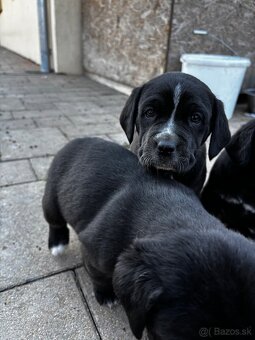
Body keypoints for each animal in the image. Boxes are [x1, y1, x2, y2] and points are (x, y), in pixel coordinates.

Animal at [42, 137, 255, 340]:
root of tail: (75, 142)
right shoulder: (93, 251)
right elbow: (99, 276)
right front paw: (107, 295)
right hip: (52, 197)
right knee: (55, 221)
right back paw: (58, 244)